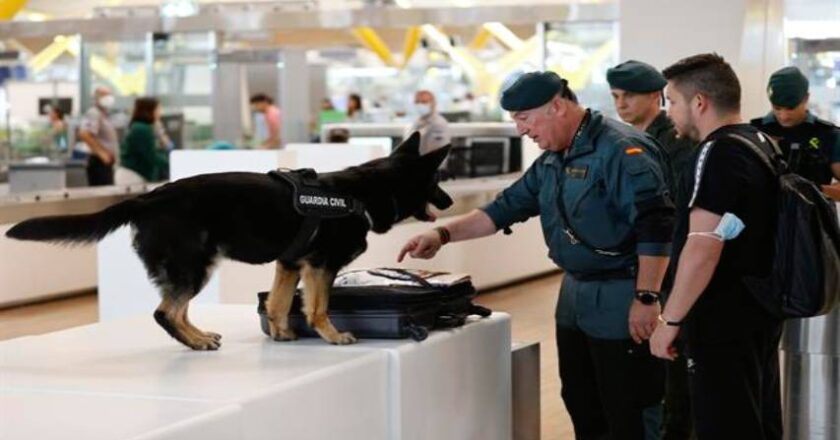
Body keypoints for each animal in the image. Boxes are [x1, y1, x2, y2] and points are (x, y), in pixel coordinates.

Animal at [4, 133, 452, 350]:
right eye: (436, 180)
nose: (449, 202)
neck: (363, 193)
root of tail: (149, 197)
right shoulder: (321, 266)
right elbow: (318, 307)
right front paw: (332, 335)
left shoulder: (290, 265)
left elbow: (277, 303)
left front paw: (281, 334)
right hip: (195, 266)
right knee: (165, 312)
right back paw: (196, 341)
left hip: (193, 267)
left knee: (175, 309)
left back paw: (200, 335)